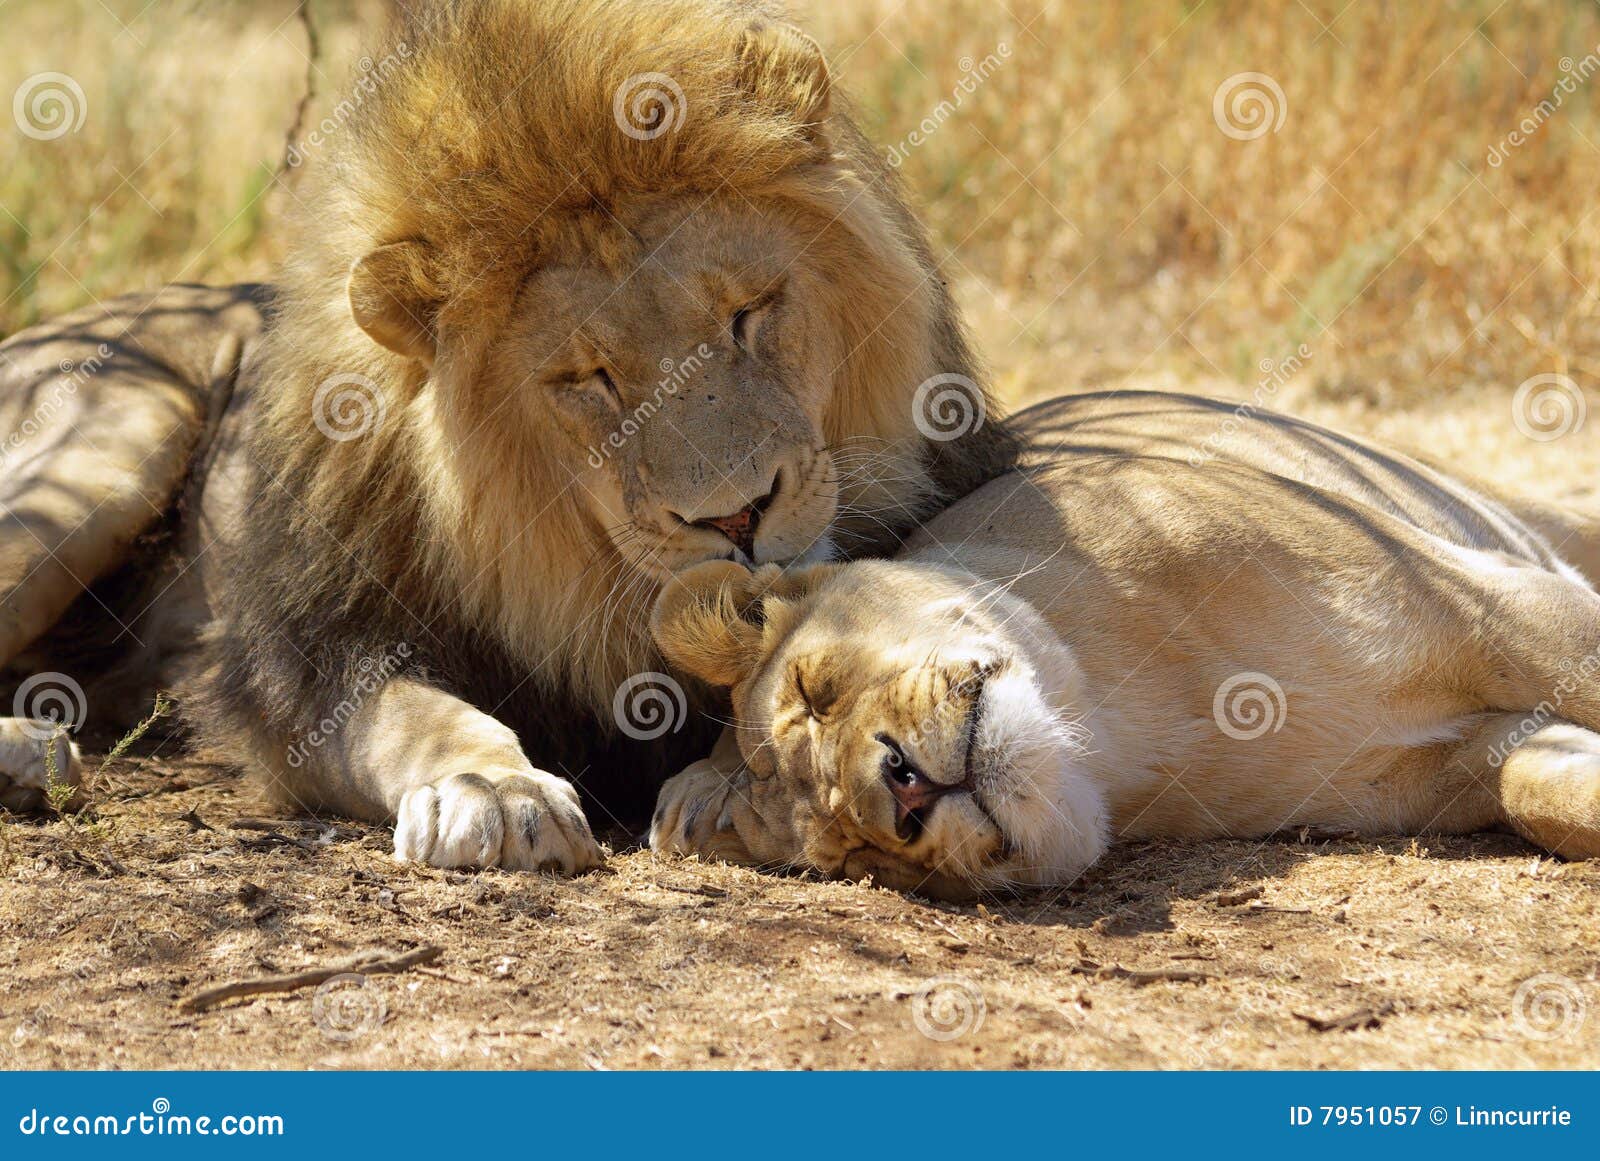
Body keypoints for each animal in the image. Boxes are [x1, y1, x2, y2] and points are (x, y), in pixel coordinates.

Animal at [0, 0, 1011, 869]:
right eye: (587, 379)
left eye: (748, 313)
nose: (737, 518)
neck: (574, 570)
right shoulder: (303, 666)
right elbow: (413, 715)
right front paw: (496, 790)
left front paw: (731, 780)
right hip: (113, 439)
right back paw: (31, 751)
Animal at [649, 398, 1600, 901]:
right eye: (852, 854)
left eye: (817, 688)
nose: (905, 794)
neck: (1127, 719)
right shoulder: (1465, 758)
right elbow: (1546, 792)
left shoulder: (1497, 607)